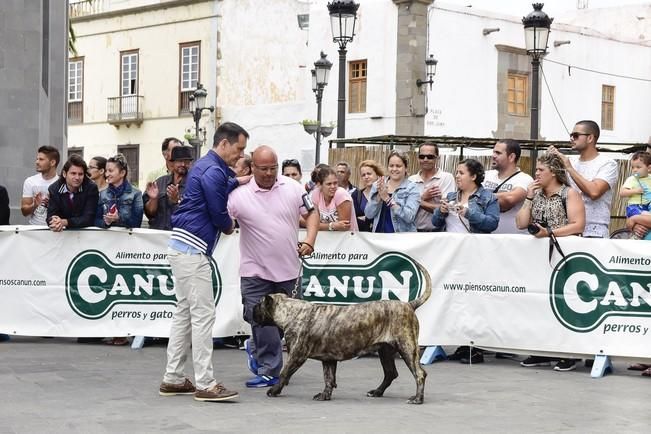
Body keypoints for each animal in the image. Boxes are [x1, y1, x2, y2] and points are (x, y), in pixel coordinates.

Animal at [253, 262, 432, 406]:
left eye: (258, 305)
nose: (250, 310)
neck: (291, 312)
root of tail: (409, 304)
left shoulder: (296, 355)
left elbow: (284, 373)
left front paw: (274, 390)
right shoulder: (328, 359)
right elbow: (329, 378)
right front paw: (324, 395)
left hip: (407, 348)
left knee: (419, 374)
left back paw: (417, 399)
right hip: (385, 351)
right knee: (390, 373)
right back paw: (377, 392)